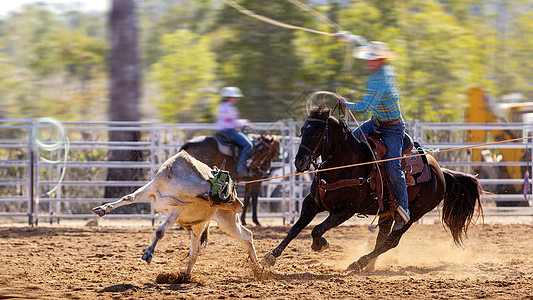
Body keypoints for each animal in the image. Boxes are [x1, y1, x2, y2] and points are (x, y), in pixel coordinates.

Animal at [262, 105, 482, 272]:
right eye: (302, 131)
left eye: (316, 132)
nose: (299, 162)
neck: (346, 165)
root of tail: (441, 173)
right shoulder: (312, 202)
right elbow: (295, 228)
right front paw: (270, 257)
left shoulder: (345, 210)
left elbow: (317, 229)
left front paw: (320, 244)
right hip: (387, 212)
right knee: (382, 237)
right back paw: (368, 266)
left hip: (414, 213)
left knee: (392, 240)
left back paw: (358, 263)